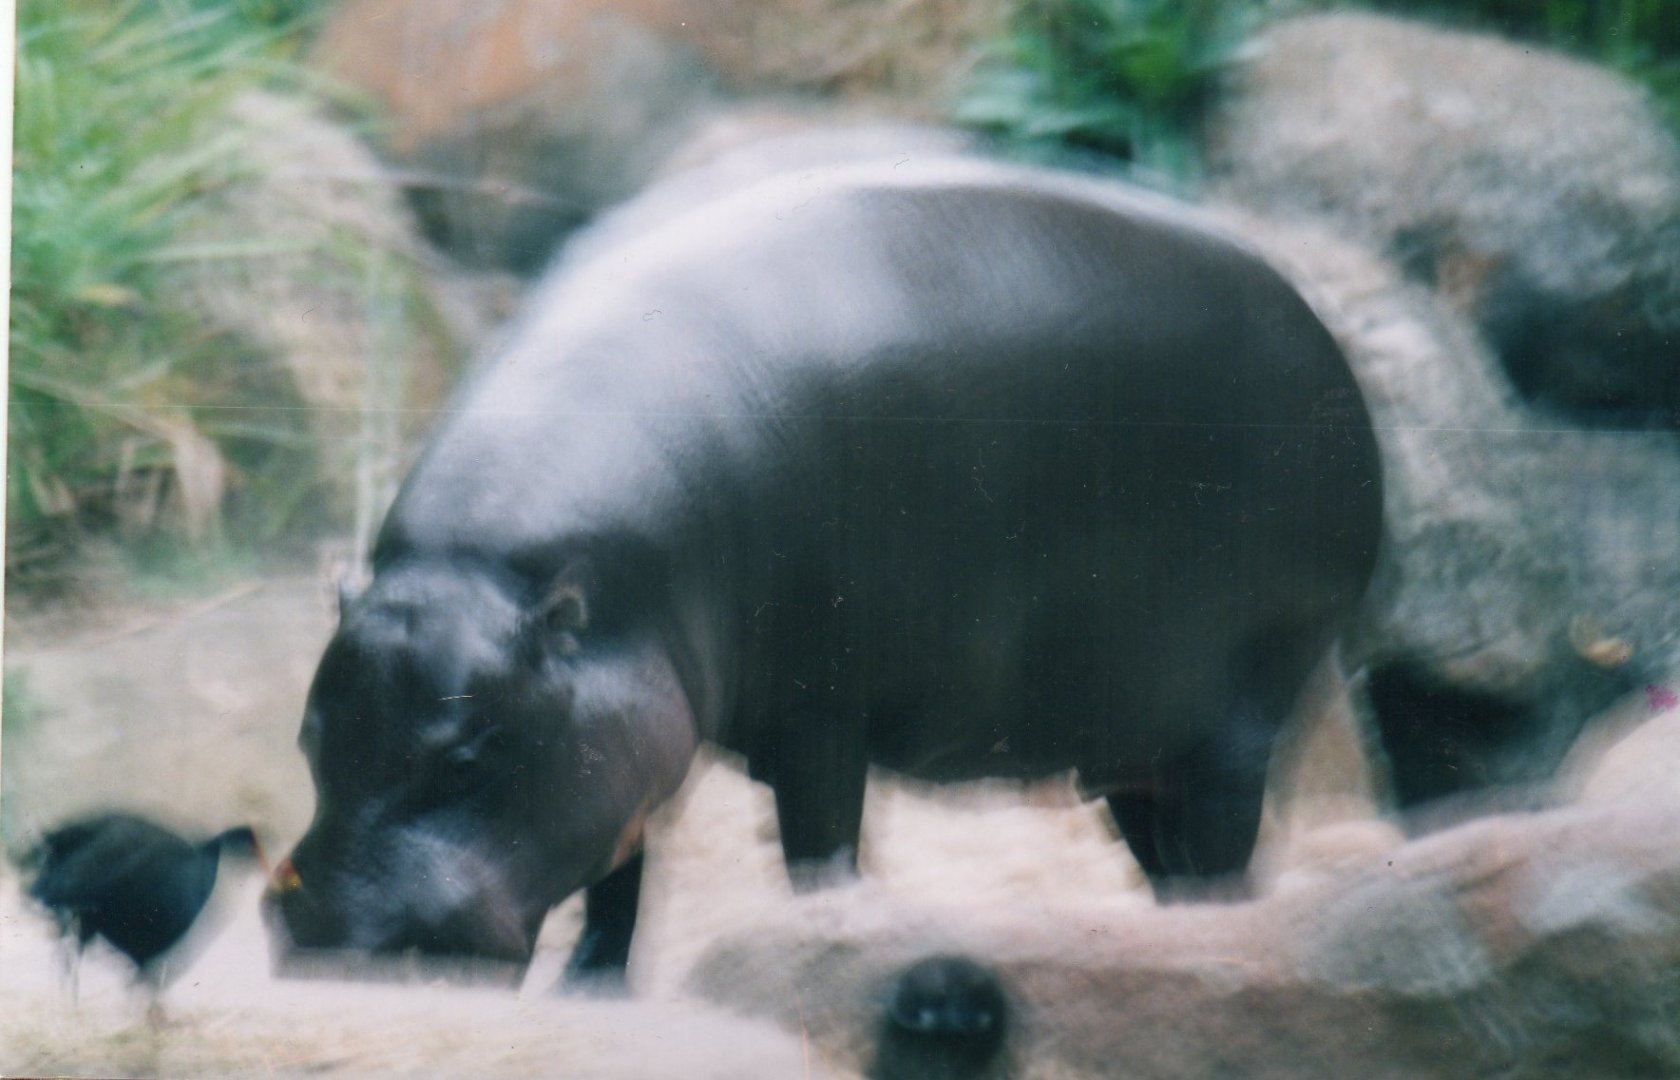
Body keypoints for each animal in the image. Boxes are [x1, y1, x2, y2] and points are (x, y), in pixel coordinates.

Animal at [268, 154, 1384, 983]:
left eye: (467, 757)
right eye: (310, 739)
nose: (334, 943)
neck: (495, 571)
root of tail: (1325, 341)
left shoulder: (819, 713)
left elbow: (815, 851)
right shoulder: (609, 732)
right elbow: (618, 873)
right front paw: (593, 987)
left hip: (1248, 698)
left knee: (1226, 852)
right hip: (1131, 735)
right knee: (1168, 852)